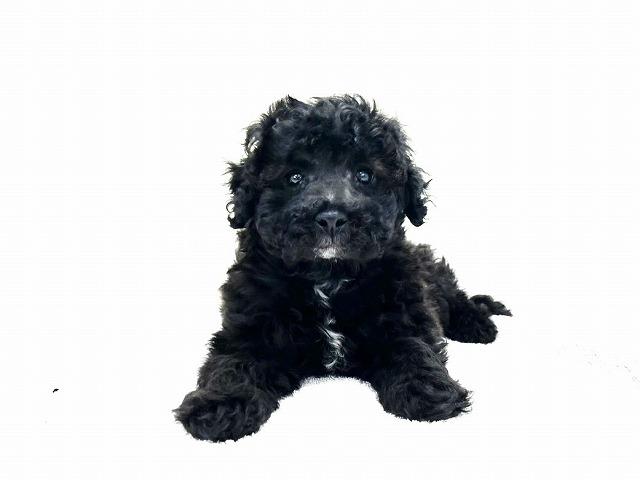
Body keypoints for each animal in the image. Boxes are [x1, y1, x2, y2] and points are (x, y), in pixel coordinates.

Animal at [174, 95, 511, 442]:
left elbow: (414, 348)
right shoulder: (249, 327)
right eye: (294, 177)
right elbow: (232, 364)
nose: (332, 217)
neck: (328, 275)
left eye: (364, 176)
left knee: (457, 297)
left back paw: (478, 325)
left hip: (432, 273)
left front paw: (428, 390)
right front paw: (219, 405)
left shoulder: (405, 311)